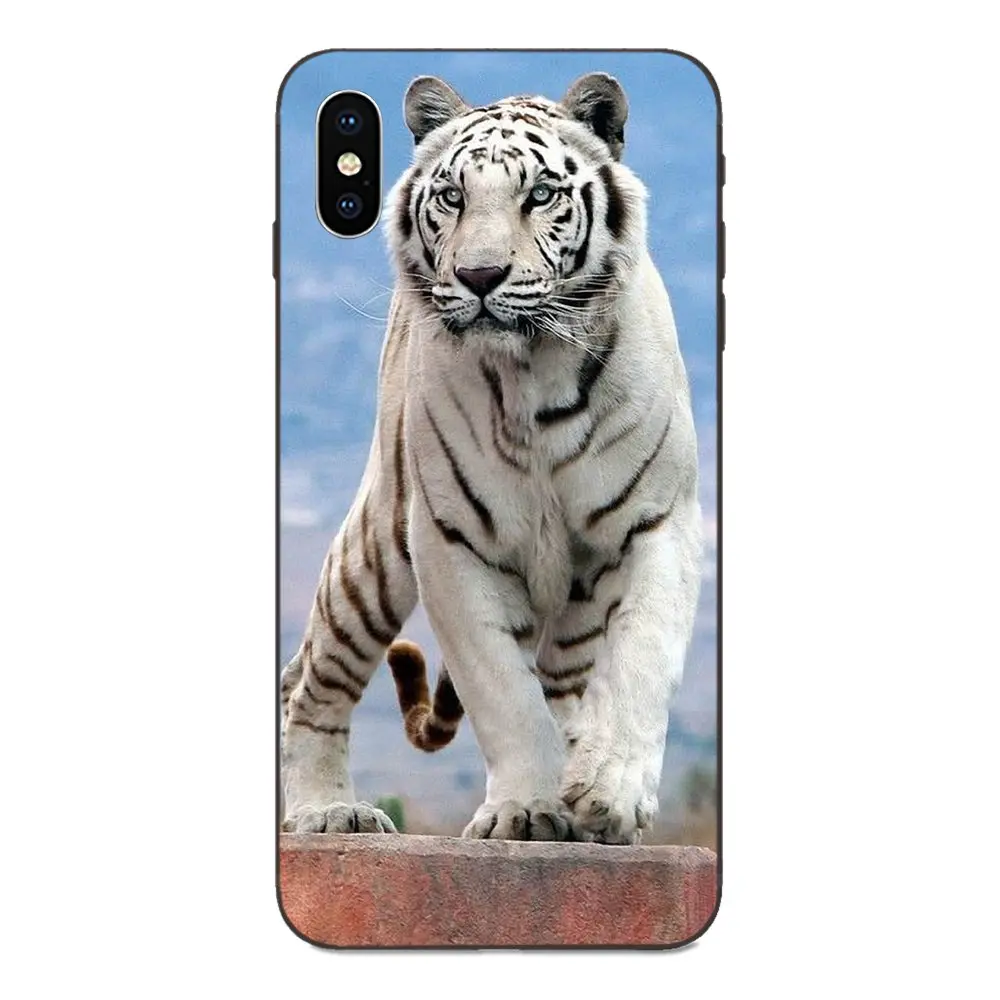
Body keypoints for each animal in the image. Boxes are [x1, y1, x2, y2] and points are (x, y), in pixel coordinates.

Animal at [280, 72, 703, 845]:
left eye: (540, 194)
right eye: (453, 196)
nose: (480, 276)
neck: (536, 376)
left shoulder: (661, 522)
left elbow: (640, 657)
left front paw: (609, 794)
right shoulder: (448, 540)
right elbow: (503, 691)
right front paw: (528, 808)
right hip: (376, 546)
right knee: (310, 675)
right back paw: (328, 811)